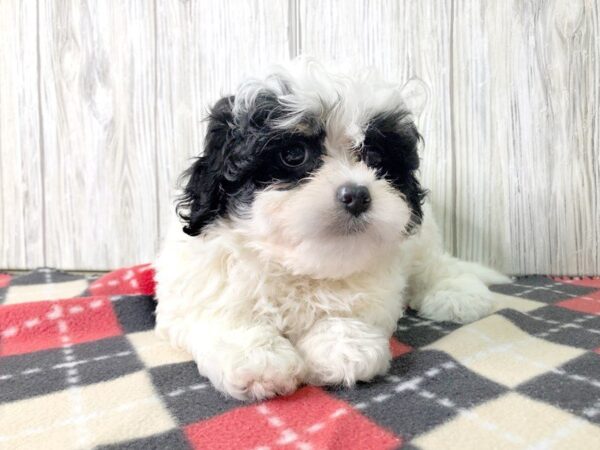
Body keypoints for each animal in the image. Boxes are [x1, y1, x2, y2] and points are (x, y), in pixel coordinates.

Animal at [155, 59, 510, 400]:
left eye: (375, 156)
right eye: (293, 154)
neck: (299, 267)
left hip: (422, 241)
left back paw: (458, 294)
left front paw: (346, 347)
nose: (357, 195)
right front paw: (258, 359)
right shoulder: (198, 286)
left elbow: (346, 313)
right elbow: (223, 316)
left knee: (434, 266)